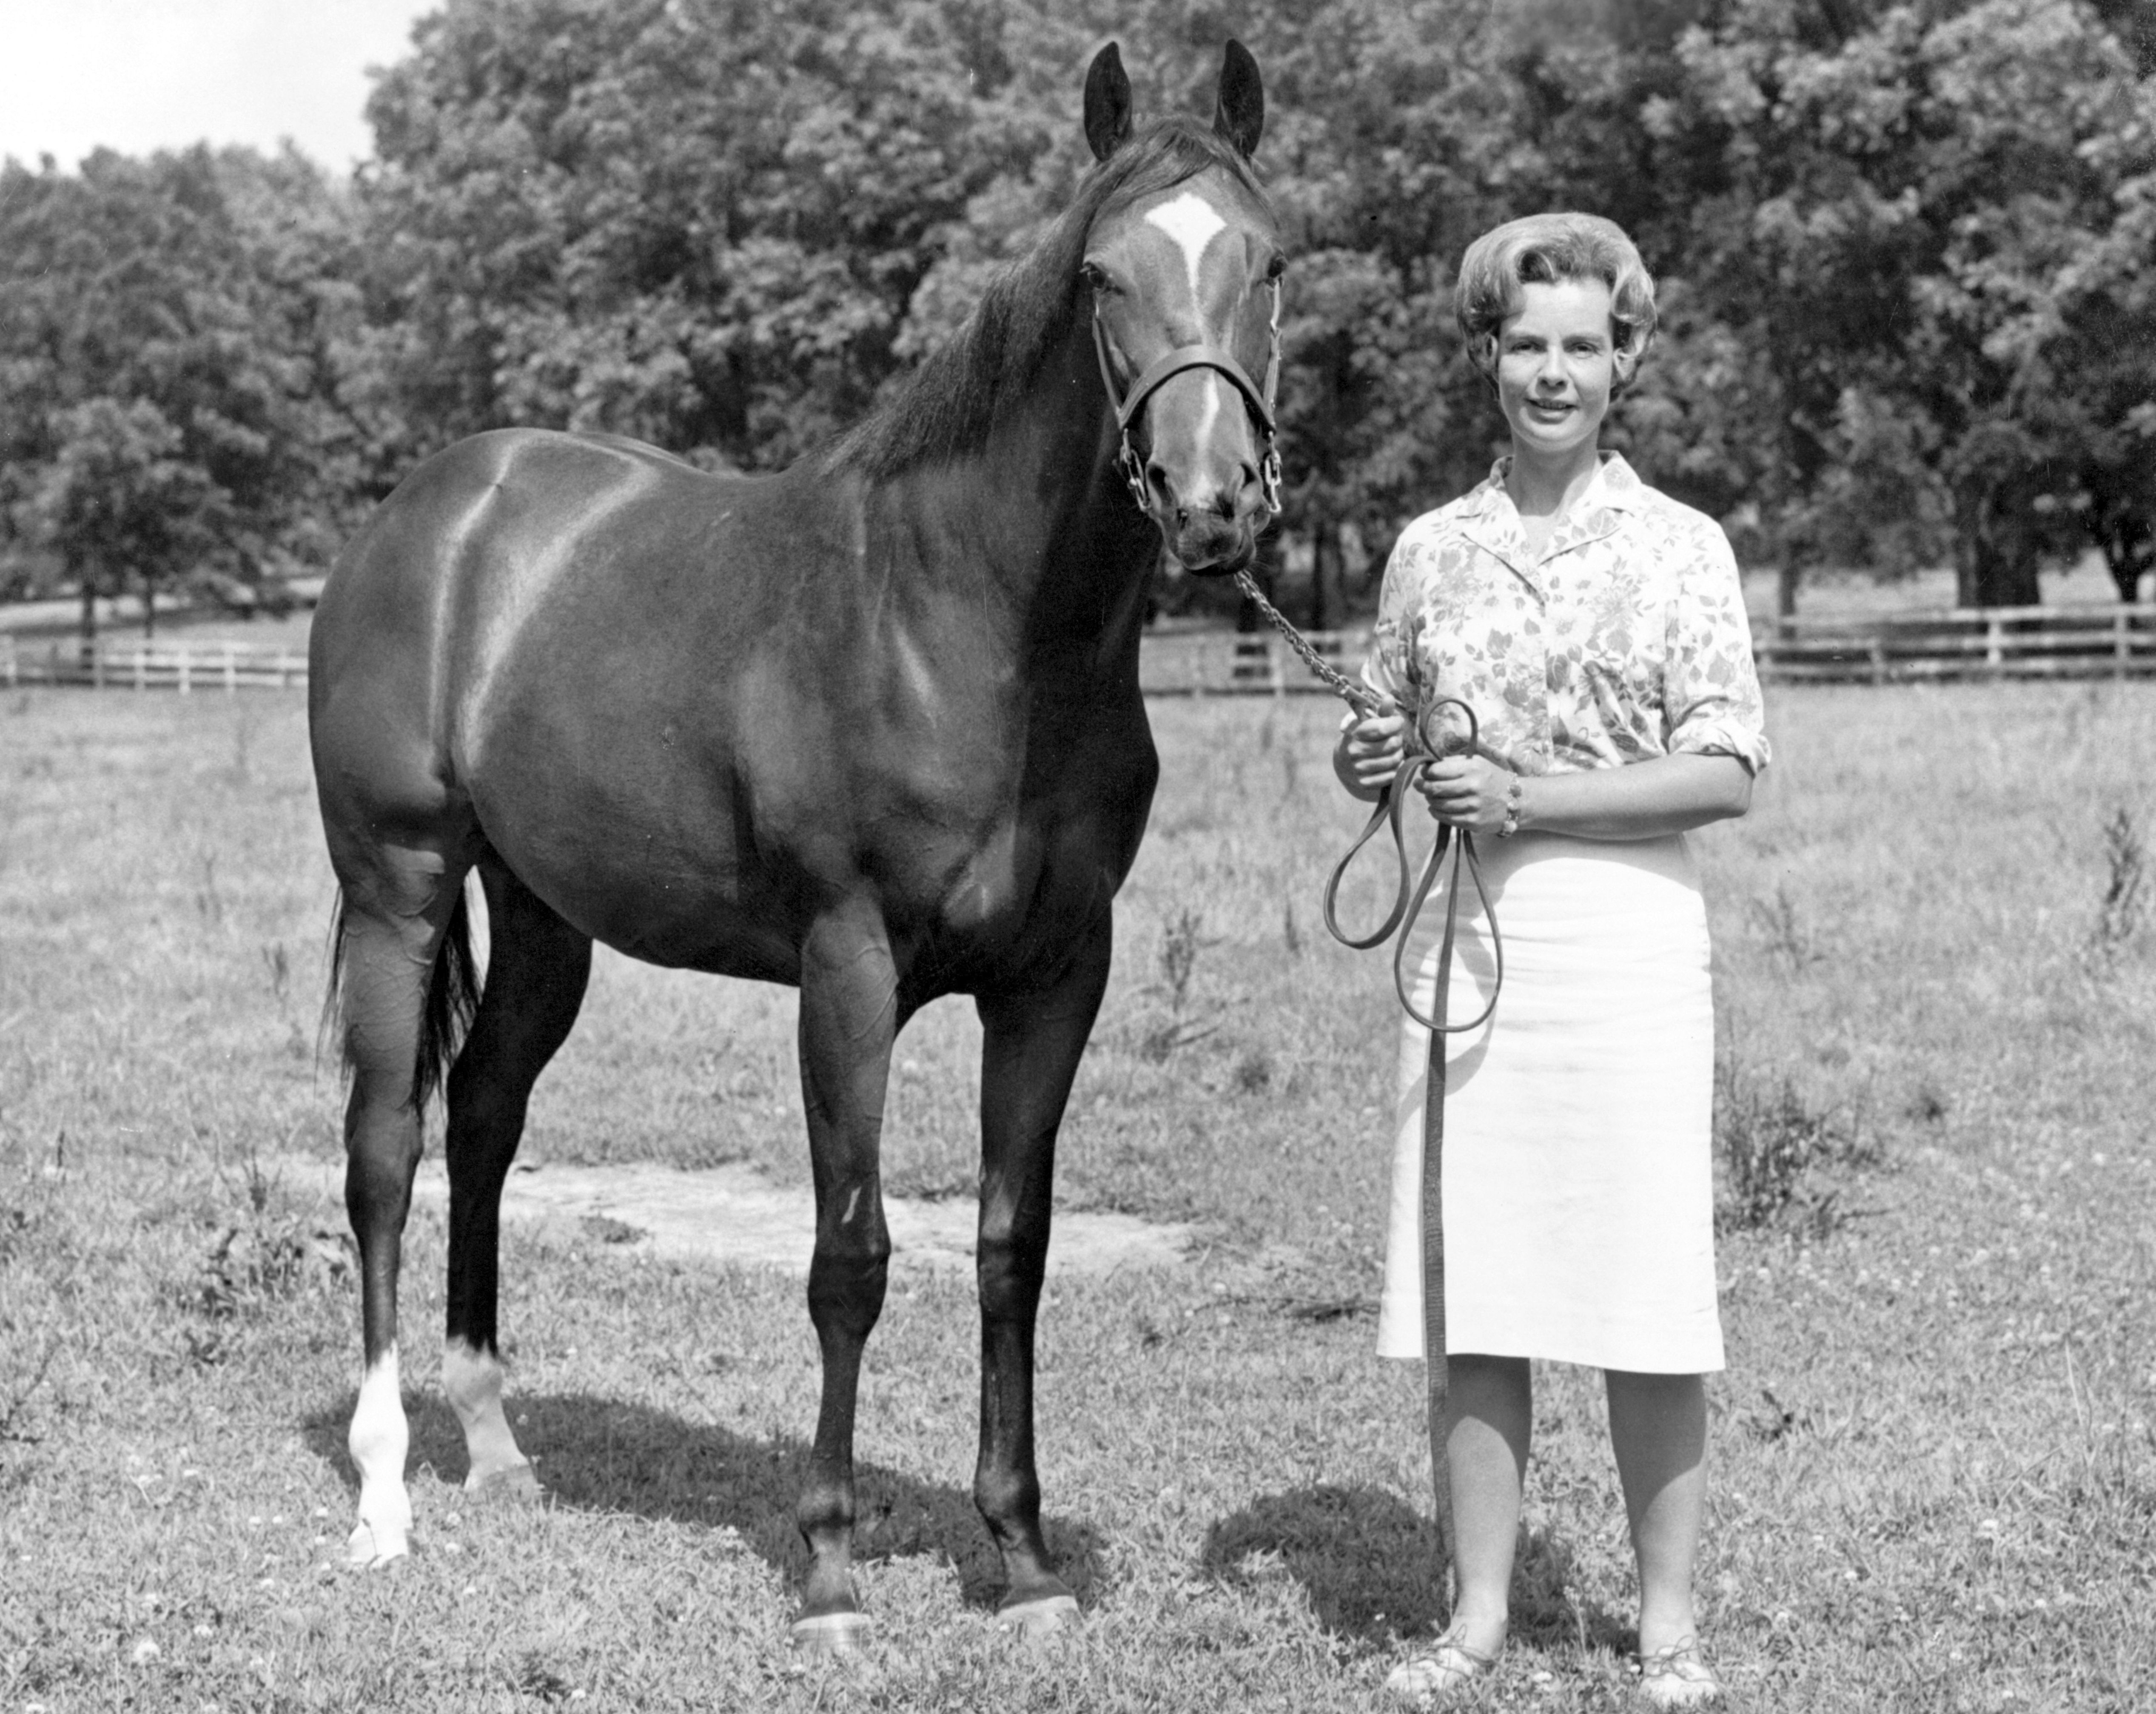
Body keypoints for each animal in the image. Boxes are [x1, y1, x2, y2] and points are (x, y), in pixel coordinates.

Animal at [304, 37, 1276, 1647]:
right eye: (1100, 273)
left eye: (1266, 260)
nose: (1210, 506)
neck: (969, 627)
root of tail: (428, 516)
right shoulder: (848, 965)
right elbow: (851, 1255)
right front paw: (825, 1564)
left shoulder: (1057, 977)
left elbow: (1011, 1251)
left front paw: (1018, 1556)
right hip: (401, 887)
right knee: (386, 1149)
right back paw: (385, 1499)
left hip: (546, 919)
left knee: (488, 1122)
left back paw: (494, 1447)